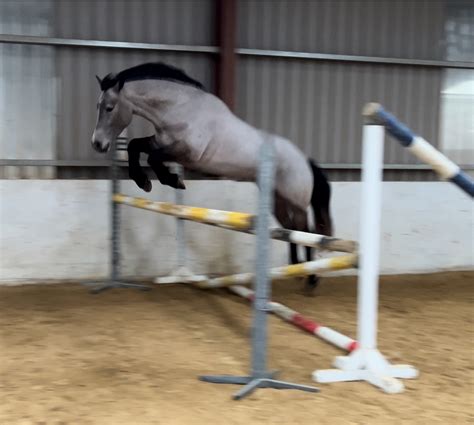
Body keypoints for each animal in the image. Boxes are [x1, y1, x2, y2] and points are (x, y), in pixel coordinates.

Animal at [91, 62, 334, 288]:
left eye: (110, 108)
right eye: (98, 106)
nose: (97, 144)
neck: (180, 109)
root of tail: (304, 160)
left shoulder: (187, 153)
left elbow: (152, 158)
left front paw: (171, 180)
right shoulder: (160, 142)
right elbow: (135, 146)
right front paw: (145, 181)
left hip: (297, 203)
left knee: (306, 231)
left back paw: (311, 278)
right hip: (278, 200)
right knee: (290, 230)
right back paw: (297, 268)